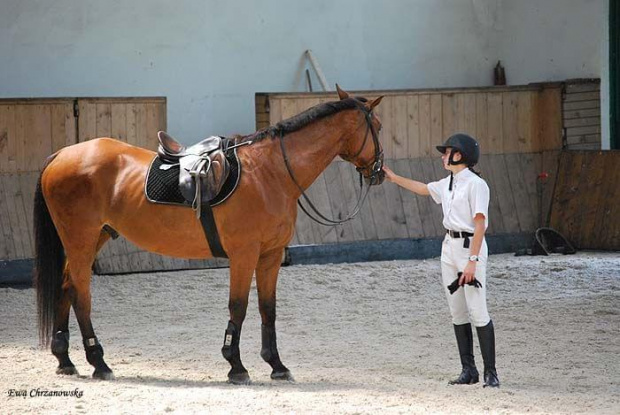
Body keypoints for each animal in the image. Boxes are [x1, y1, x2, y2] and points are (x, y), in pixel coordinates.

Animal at [35, 86, 382, 386]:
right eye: (377, 125)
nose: (378, 171)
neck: (270, 172)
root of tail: (62, 154)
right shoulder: (244, 254)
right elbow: (238, 306)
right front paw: (236, 366)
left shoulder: (270, 256)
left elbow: (267, 308)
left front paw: (276, 365)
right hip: (80, 239)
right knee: (81, 294)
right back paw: (99, 361)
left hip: (94, 238)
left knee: (66, 287)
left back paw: (66, 360)